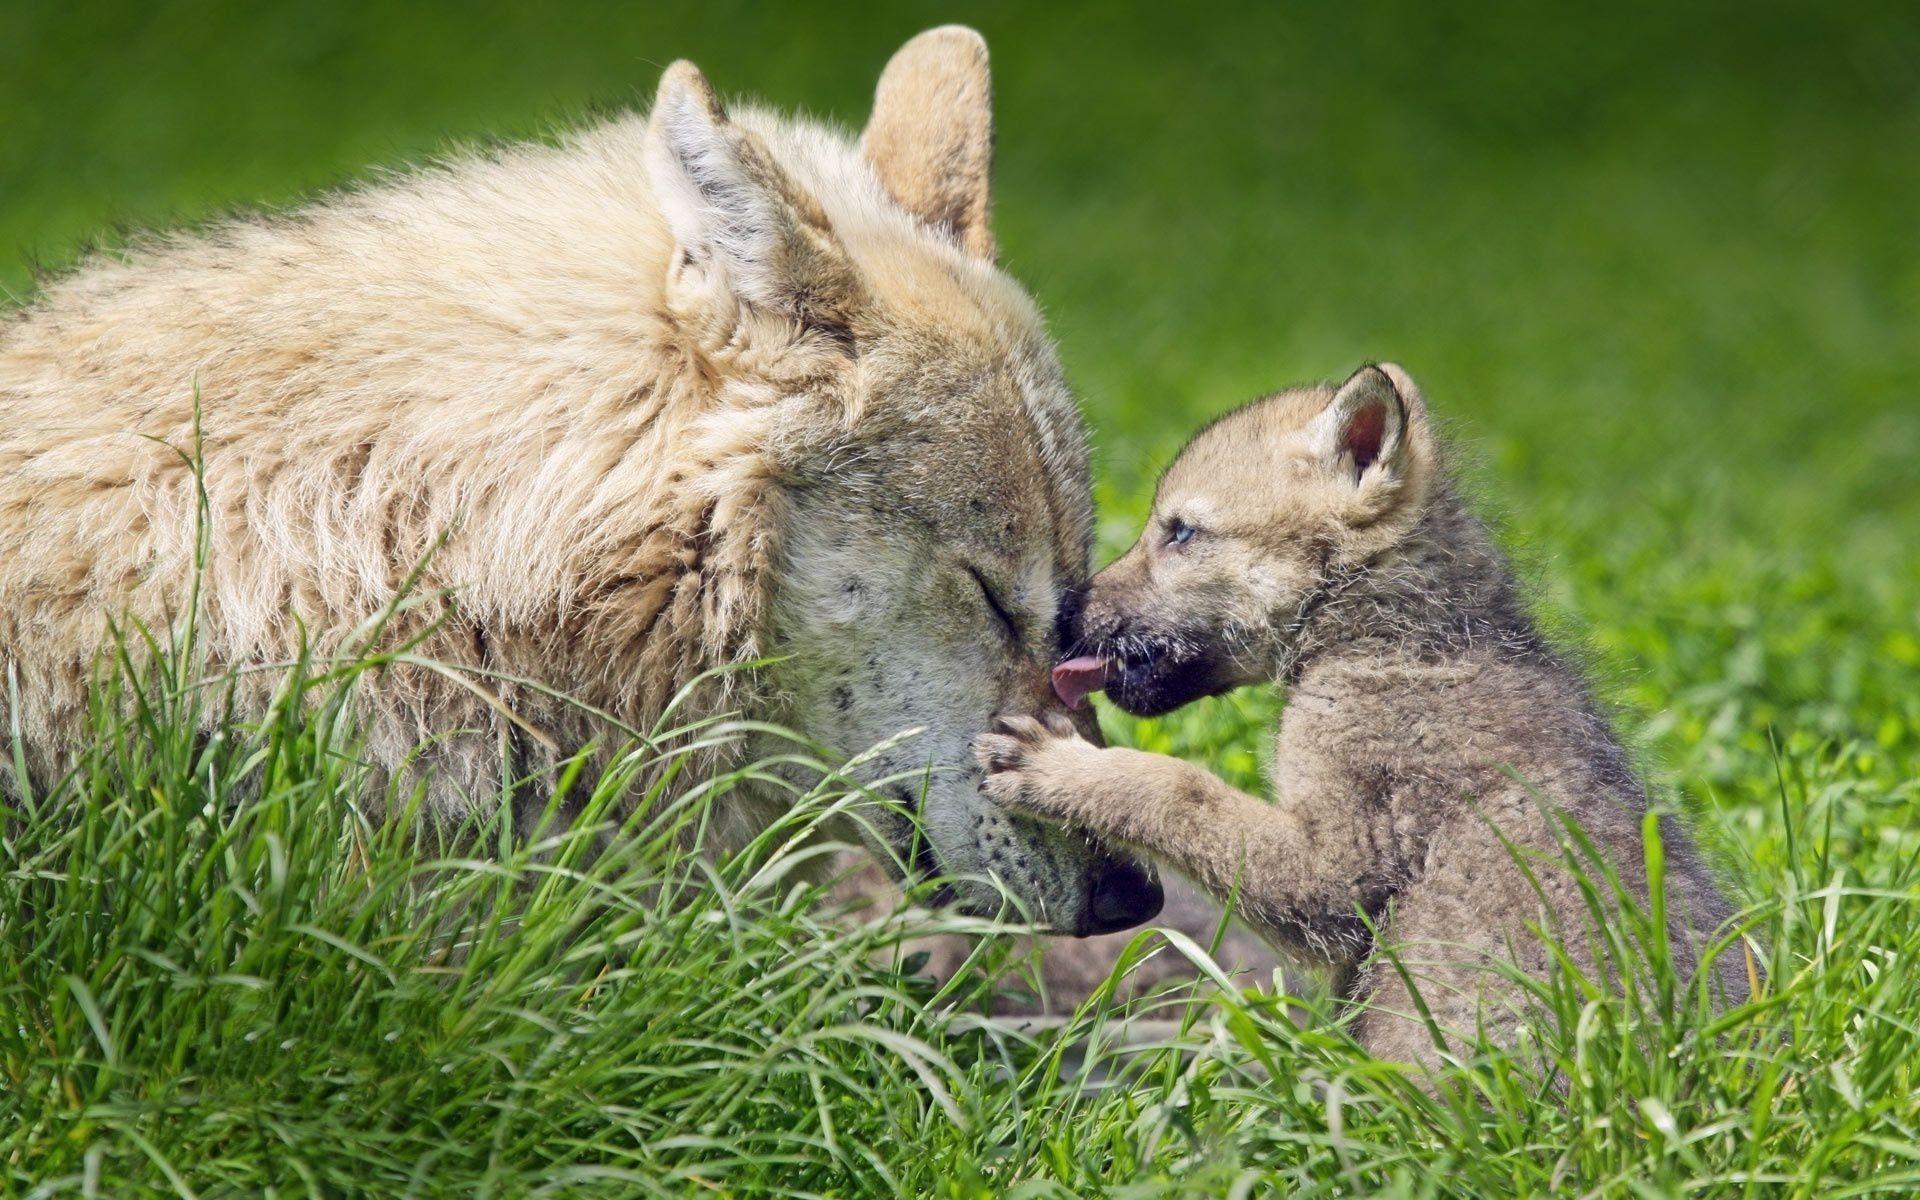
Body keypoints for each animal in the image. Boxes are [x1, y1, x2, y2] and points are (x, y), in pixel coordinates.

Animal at [978, 364, 1748, 1064]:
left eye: (1182, 532)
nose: (1068, 615)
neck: (1395, 637)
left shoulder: (1337, 867)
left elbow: (1176, 787)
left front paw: (1060, 768)